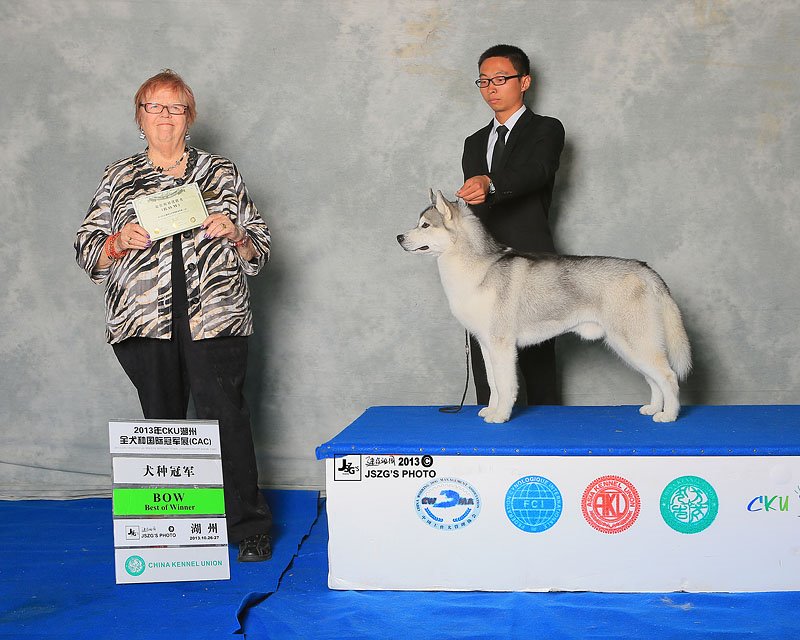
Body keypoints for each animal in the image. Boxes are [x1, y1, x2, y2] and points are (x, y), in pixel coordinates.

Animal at [397, 190, 691, 424]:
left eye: (425, 225)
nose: (399, 236)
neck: (478, 269)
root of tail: (646, 270)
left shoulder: (502, 345)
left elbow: (505, 385)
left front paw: (501, 416)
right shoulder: (486, 345)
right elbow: (492, 383)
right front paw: (491, 410)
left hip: (635, 342)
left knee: (668, 377)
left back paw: (668, 415)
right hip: (629, 346)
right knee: (653, 379)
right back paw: (653, 408)